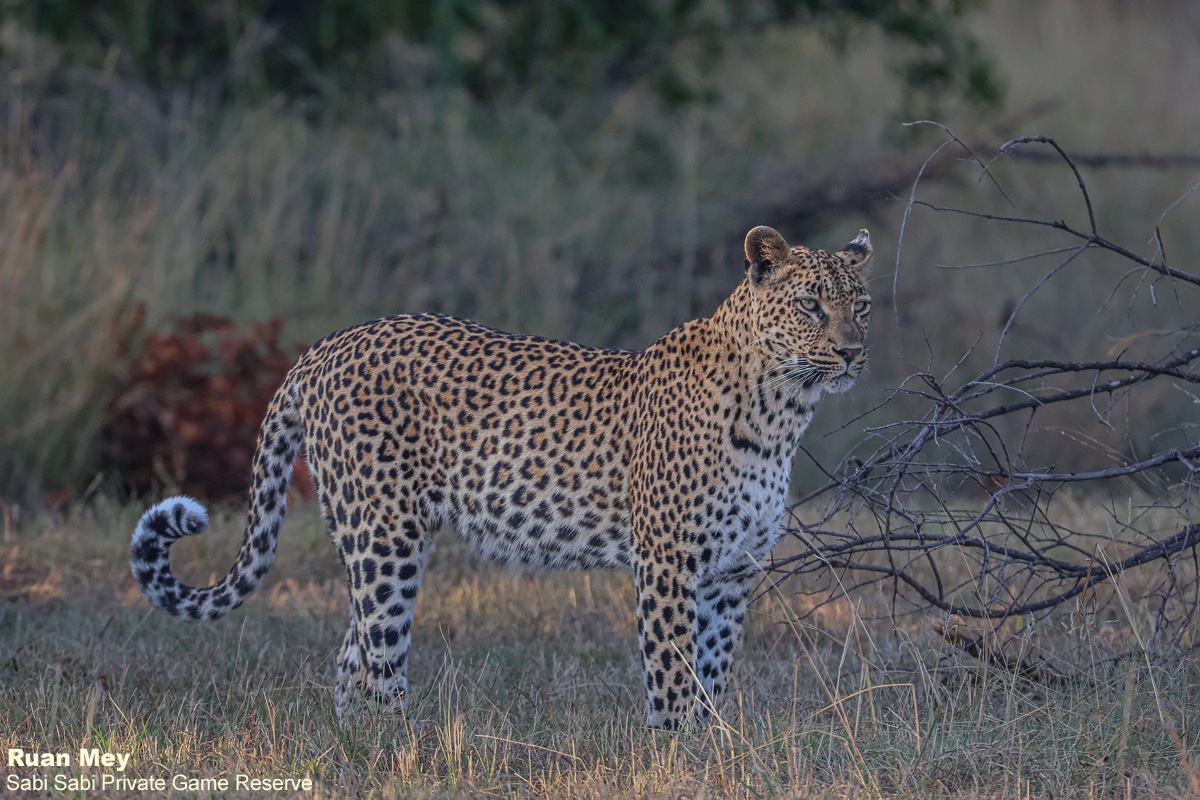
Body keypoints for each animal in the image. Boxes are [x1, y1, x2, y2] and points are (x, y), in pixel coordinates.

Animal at [130, 224, 873, 730]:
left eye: (860, 304)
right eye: (810, 306)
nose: (852, 352)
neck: (781, 412)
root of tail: (324, 347)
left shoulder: (733, 568)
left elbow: (710, 676)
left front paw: (708, 750)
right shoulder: (668, 561)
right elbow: (671, 672)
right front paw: (672, 755)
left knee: (351, 657)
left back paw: (353, 747)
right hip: (385, 537)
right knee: (378, 660)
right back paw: (403, 752)